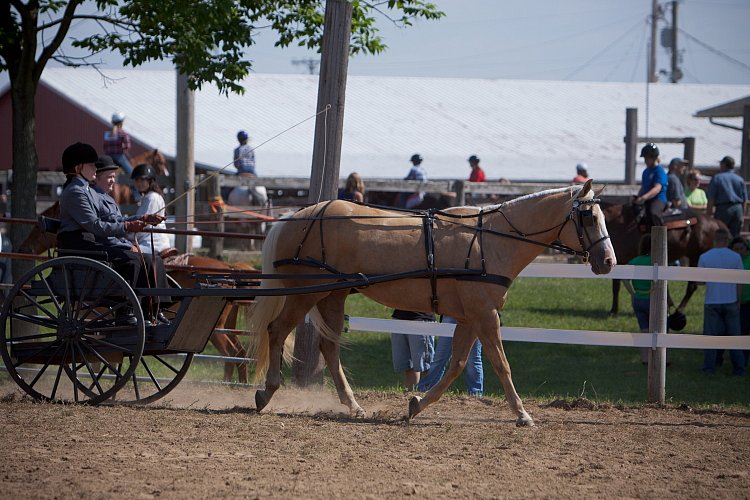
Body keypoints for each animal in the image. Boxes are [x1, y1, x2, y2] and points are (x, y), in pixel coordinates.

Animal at [15, 201, 253, 384]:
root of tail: (229, 267)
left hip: (217, 330)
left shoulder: (90, 317)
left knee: (232, 353)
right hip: (224, 324)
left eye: (37, 228)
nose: (23, 248)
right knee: (238, 353)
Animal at [251, 180, 616, 426]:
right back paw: (266, 392)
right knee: (277, 330)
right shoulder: (486, 315)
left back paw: (352, 405)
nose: (609, 261)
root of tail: (297, 215)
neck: (490, 241)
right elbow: (502, 364)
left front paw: (417, 405)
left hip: (333, 295)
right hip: (306, 293)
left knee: (329, 347)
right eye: (587, 216)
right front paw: (523, 414)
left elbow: (456, 365)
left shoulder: (470, 318)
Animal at [604, 202, 732, 312]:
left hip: (695, 257)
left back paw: (680, 308)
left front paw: (613, 310)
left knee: (692, 286)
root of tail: (715, 222)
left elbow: (616, 286)